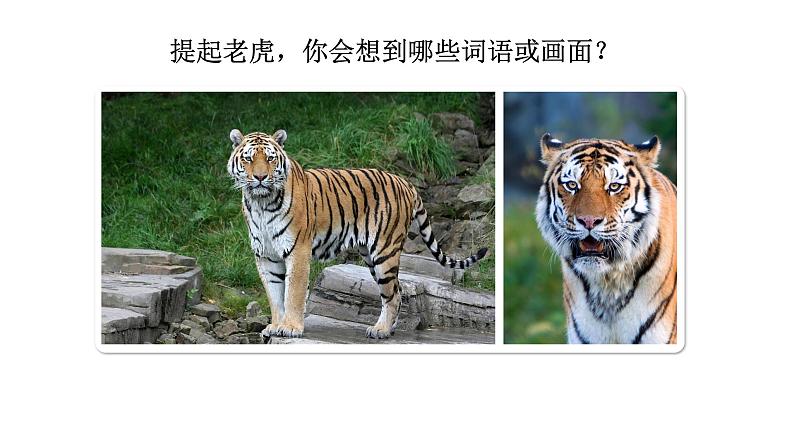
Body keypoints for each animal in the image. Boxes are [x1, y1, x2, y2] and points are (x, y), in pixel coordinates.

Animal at [227, 129, 488, 339]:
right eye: (249, 158)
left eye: (270, 158)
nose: (261, 177)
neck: (260, 203)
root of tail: (405, 181)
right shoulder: (266, 255)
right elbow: (274, 294)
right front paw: (275, 325)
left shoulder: (297, 250)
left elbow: (293, 292)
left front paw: (291, 327)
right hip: (371, 256)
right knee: (396, 292)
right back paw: (388, 329)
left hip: (384, 252)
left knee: (393, 295)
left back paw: (381, 330)